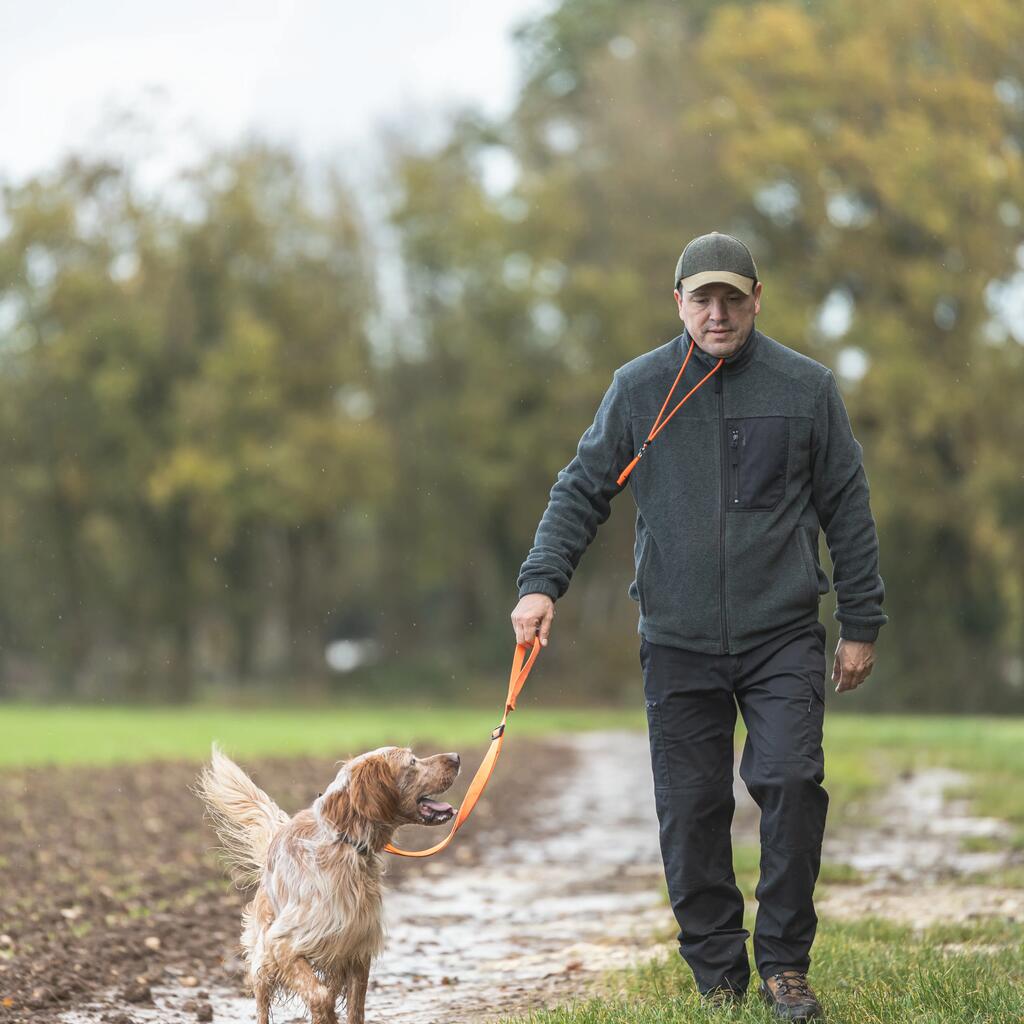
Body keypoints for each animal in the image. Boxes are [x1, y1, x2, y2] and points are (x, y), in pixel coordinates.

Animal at [195, 745, 460, 1024]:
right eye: (412, 762)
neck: (344, 841)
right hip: (262, 961)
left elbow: (353, 1008)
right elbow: (320, 996)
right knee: (263, 1005)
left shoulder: (356, 950)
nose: (456, 757)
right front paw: (326, 1015)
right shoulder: (282, 944)